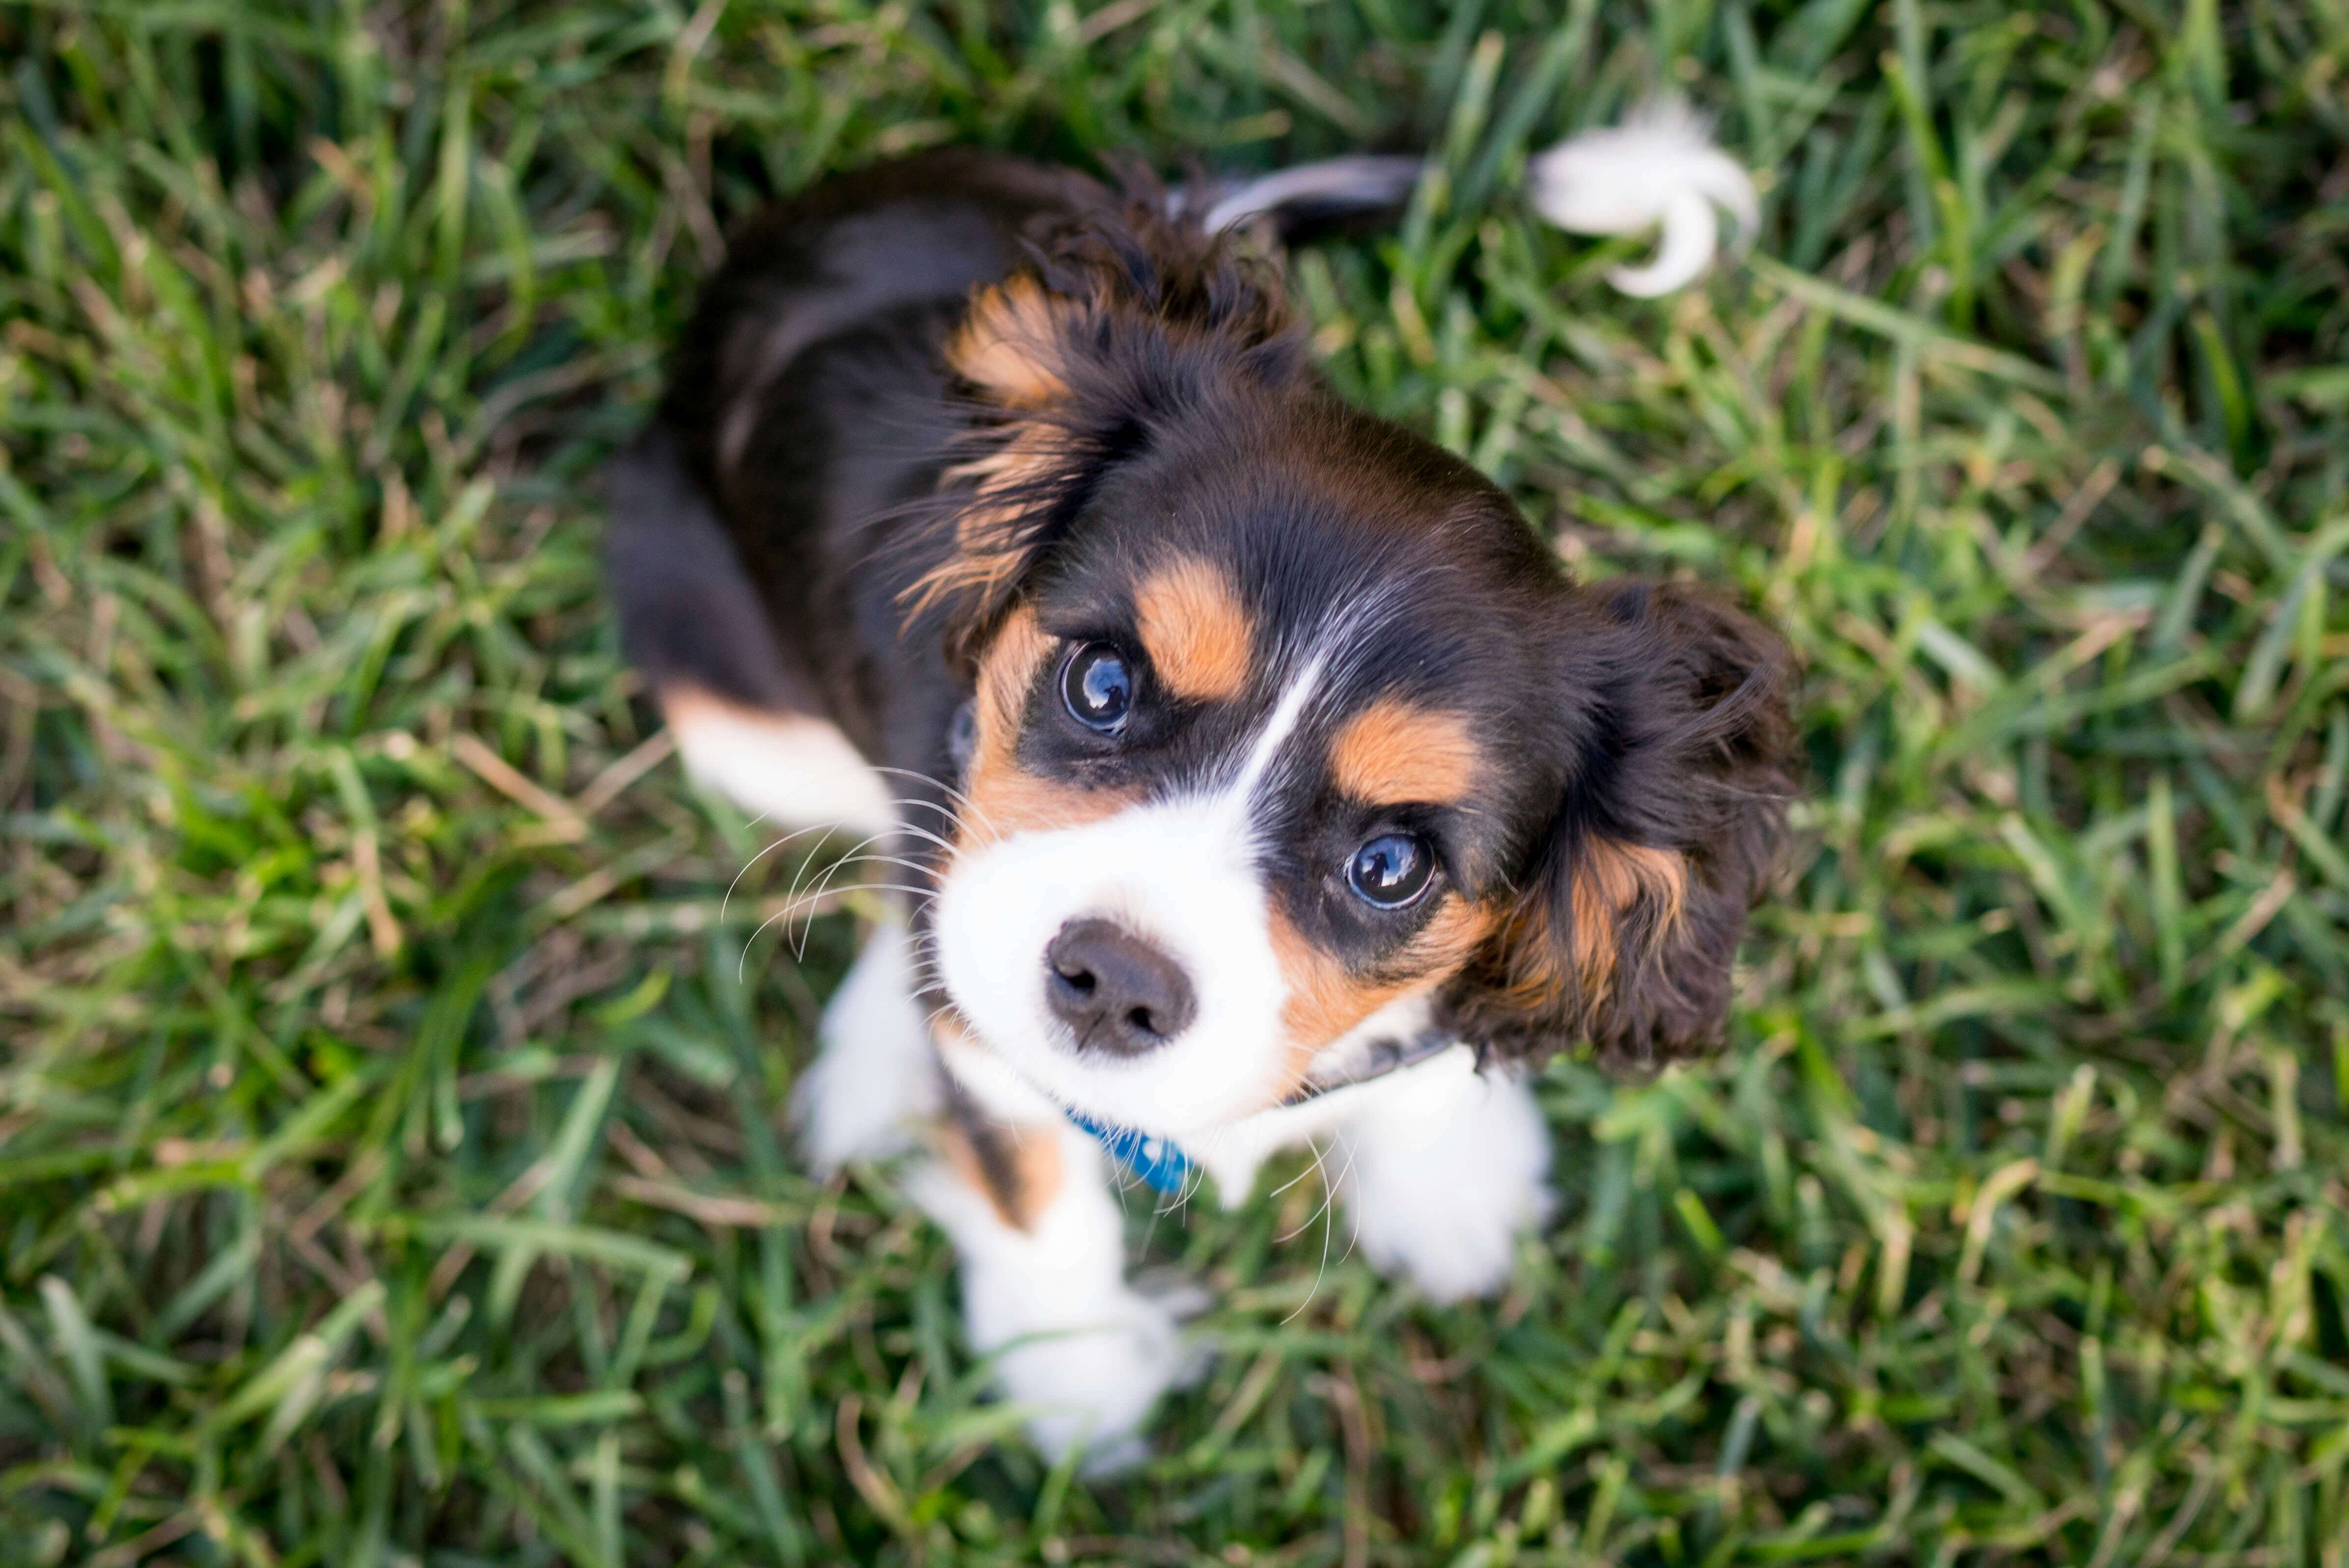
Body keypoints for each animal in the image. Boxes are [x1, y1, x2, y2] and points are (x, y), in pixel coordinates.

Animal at [611, 143, 1794, 1474]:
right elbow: (1032, 1185)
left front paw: (1451, 1187)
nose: (1114, 983)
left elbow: (1428, 1054)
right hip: (729, 700)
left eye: (1392, 866)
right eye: (1102, 685)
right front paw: (1072, 1384)